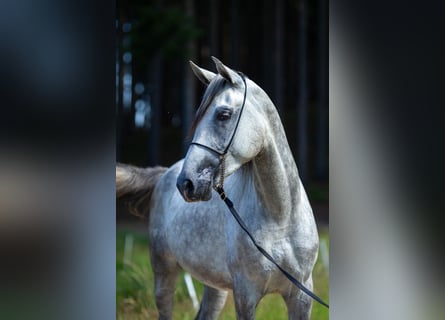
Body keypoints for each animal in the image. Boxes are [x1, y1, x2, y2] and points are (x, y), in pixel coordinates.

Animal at [116, 56, 320, 318]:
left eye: (223, 114)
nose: (186, 183)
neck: (281, 218)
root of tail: (165, 173)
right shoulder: (246, 295)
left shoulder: (301, 296)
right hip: (164, 273)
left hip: (215, 286)